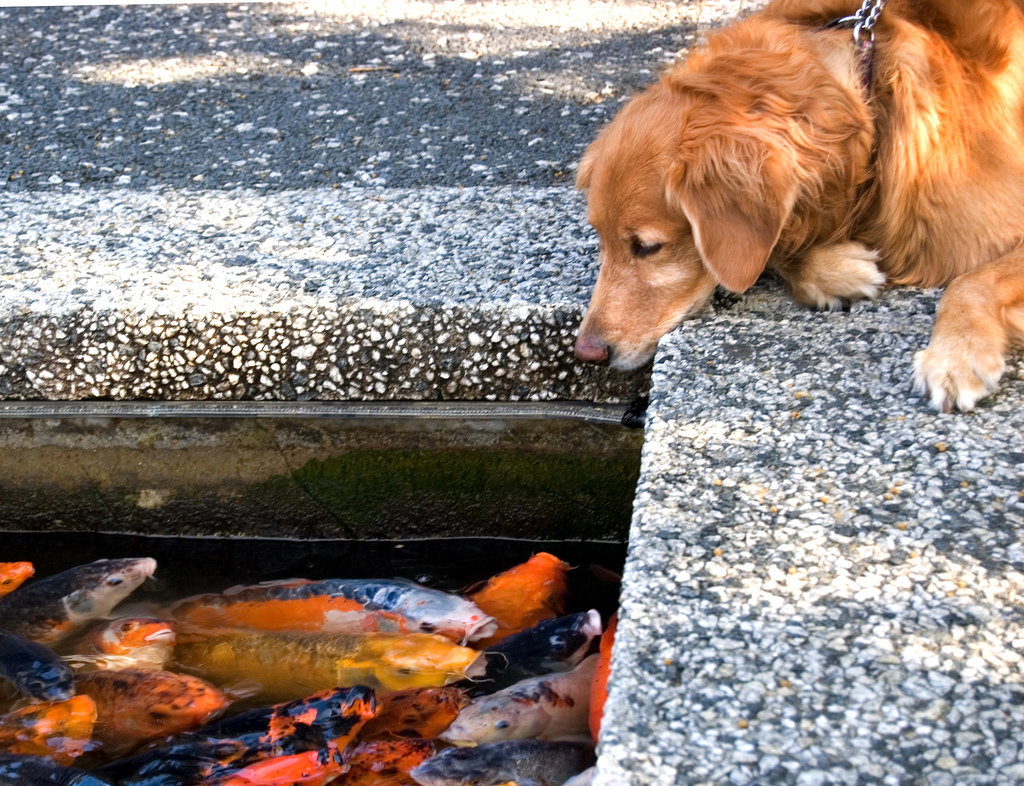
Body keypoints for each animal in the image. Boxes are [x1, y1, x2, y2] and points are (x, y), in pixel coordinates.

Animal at [574, 0, 1024, 412]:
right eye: (600, 240)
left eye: (647, 247)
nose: (586, 352)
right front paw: (834, 271)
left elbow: (971, 281)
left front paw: (956, 356)